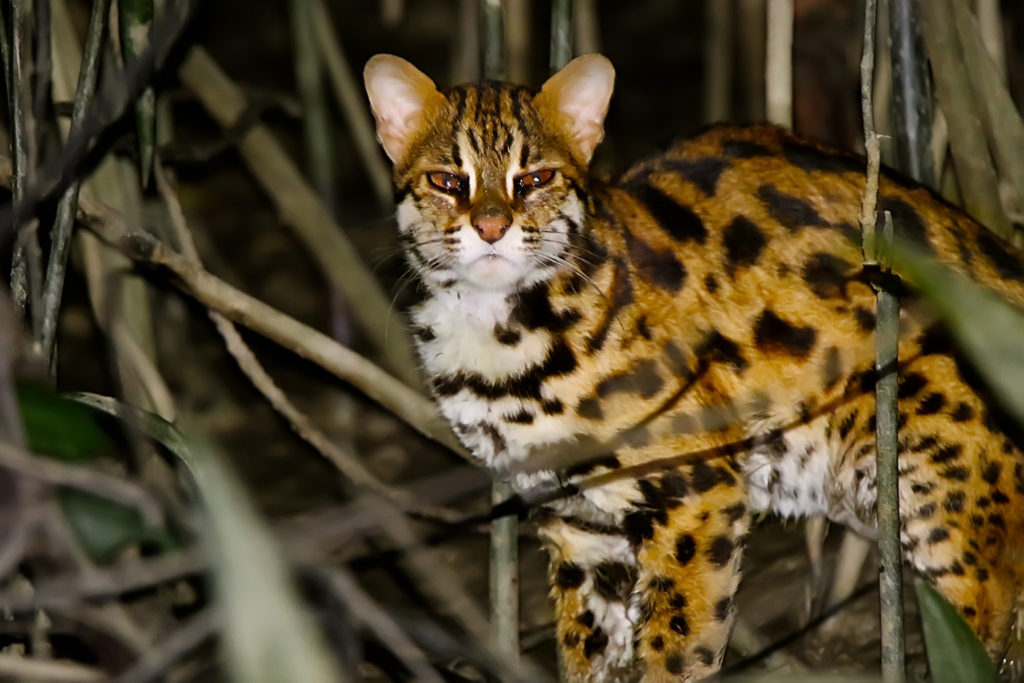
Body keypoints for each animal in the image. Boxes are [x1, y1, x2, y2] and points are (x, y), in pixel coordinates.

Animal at [364, 54, 1024, 683]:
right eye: (447, 181)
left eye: (535, 179)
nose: (492, 227)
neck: (494, 340)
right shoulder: (579, 528)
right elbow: (588, 658)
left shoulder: (697, 495)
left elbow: (679, 652)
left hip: (943, 479)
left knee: (984, 618)